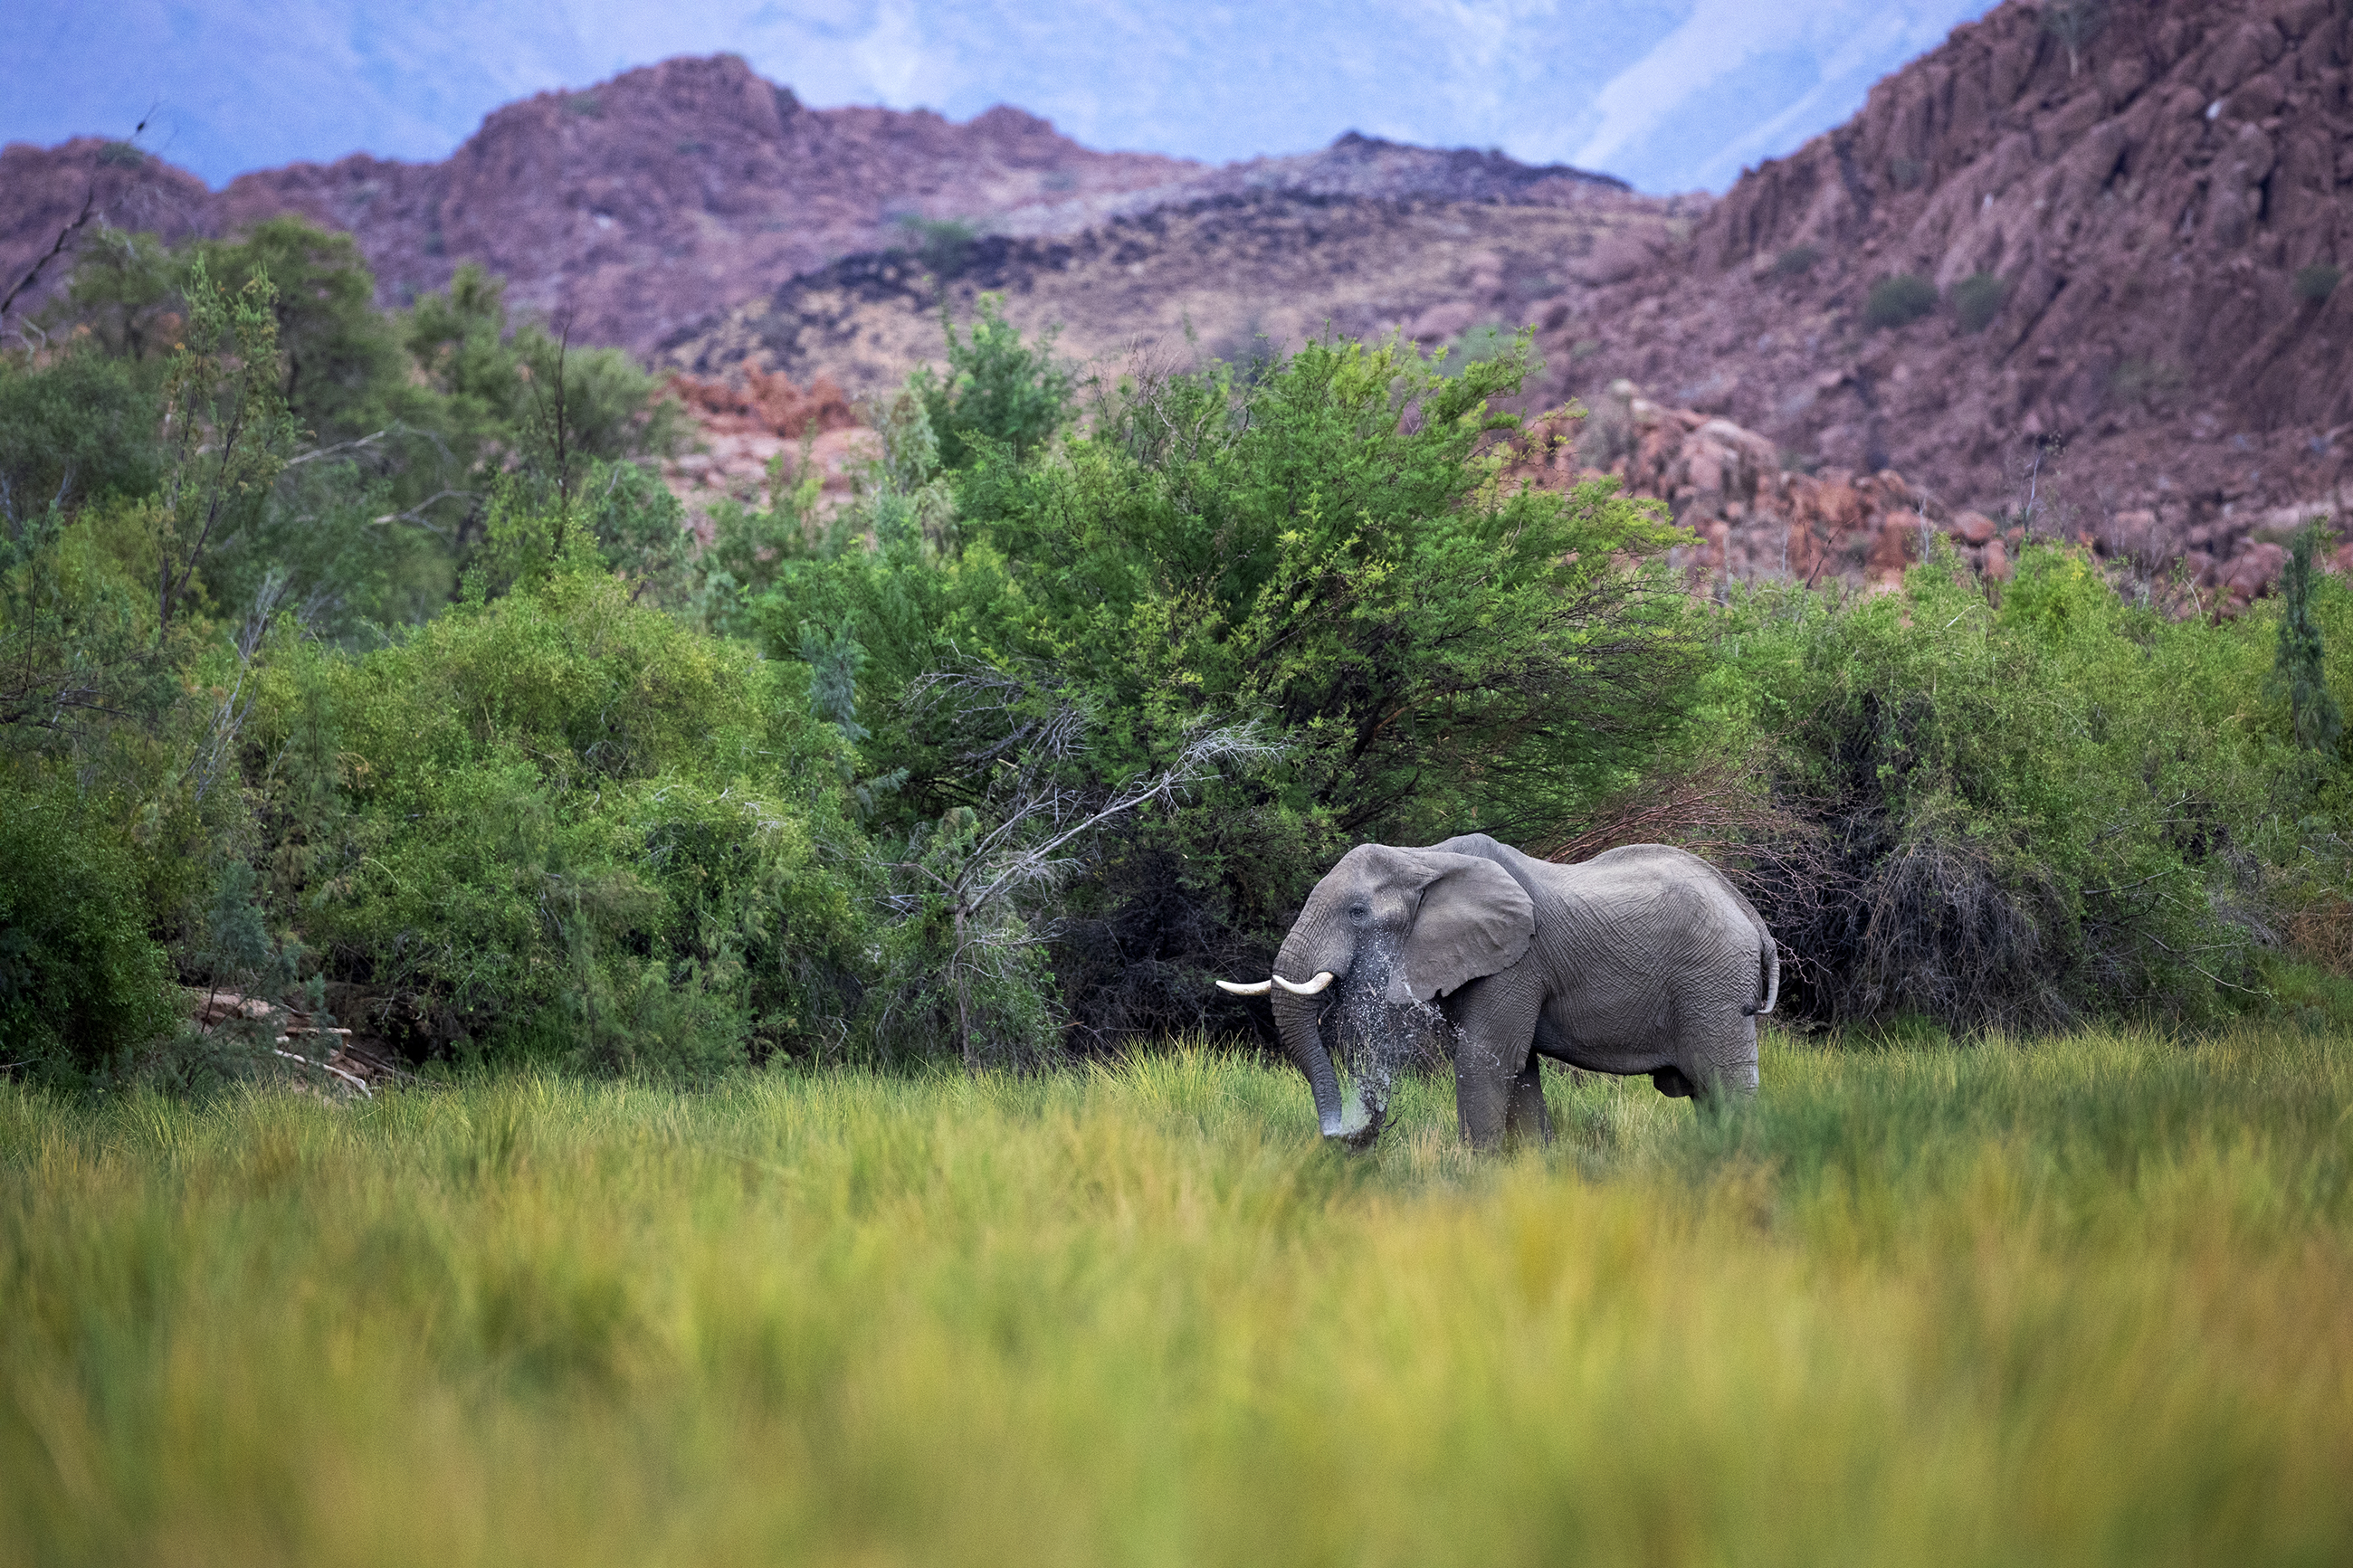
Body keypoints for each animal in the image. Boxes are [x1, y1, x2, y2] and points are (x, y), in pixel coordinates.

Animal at [1218, 835, 1777, 1150]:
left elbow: (1483, 1060)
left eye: (1357, 913)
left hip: (1712, 985)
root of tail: (1750, 914)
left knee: (1724, 1084)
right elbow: (1519, 1070)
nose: (1358, 1128)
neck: (1425, 859)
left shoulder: (1516, 962)